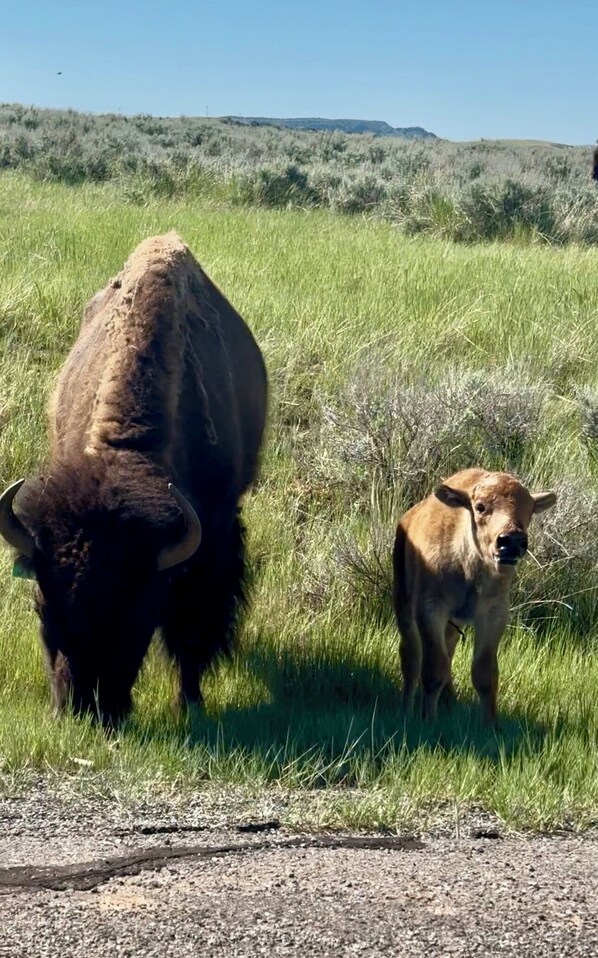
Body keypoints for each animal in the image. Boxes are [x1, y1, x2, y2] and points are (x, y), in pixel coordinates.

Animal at [0, 232, 267, 725]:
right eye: (41, 606)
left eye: (139, 612)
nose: (85, 707)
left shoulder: (212, 540)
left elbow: (191, 630)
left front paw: (190, 703)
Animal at [392, 469, 556, 724]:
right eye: (480, 507)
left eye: (529, 508)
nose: (512, 541)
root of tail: (408, 517)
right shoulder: (430, 609)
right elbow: (432, 669)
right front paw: (429, 720)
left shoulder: (493, 614)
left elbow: (485, 674)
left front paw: (490, 725)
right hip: (403, 604)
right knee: (411, 658)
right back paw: (406, 709)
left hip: (453, 623)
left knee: (446, 652)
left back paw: (448, 701)